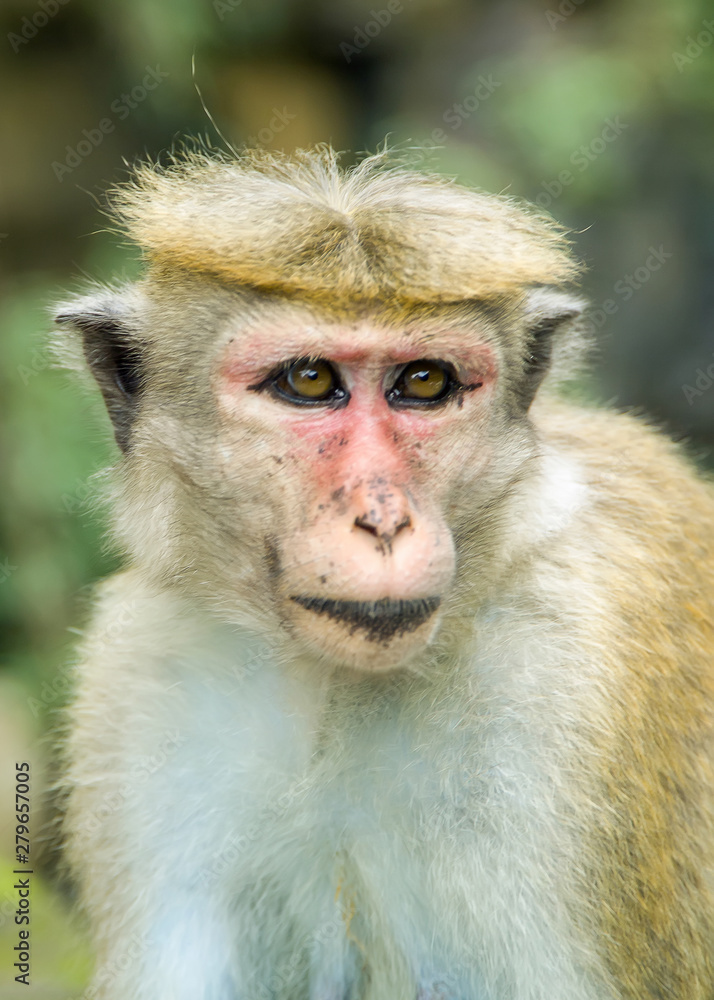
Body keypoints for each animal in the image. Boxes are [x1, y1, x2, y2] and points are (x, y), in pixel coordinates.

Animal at [54, 145, 714, 1000]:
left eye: (425, 383)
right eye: (307, 382)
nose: (384, 519)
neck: (335, 685)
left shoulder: (569, 686)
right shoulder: (140, 679)